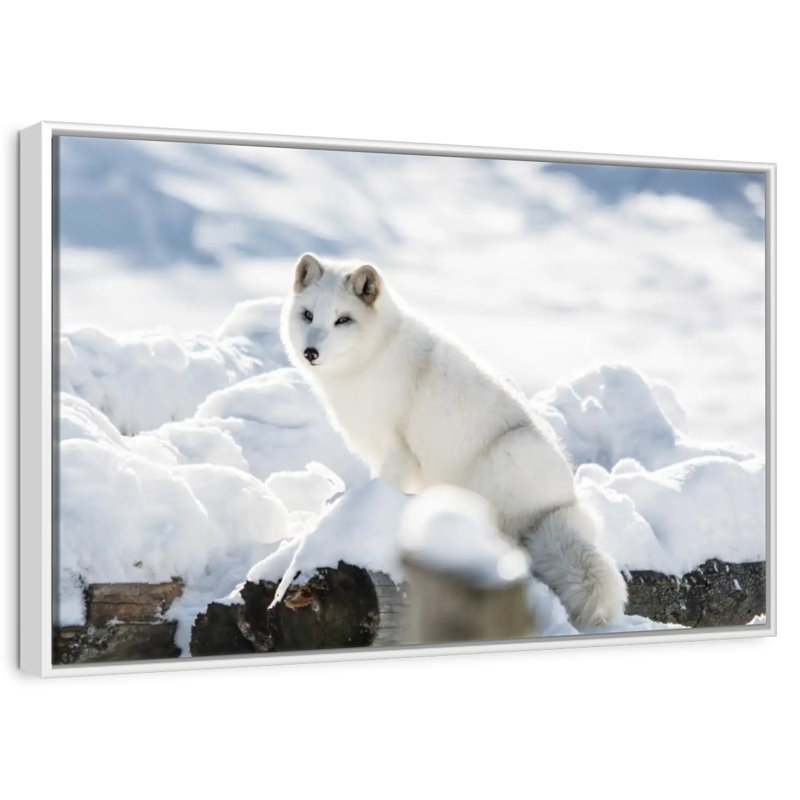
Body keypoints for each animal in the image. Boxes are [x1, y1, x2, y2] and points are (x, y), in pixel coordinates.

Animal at [281, 252, 627, 629]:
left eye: (343, 320)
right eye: (308, 315)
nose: (310, 352)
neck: (374, 357)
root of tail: (563, 505)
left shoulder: (398, 453)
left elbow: (379, 487)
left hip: (505, 457)